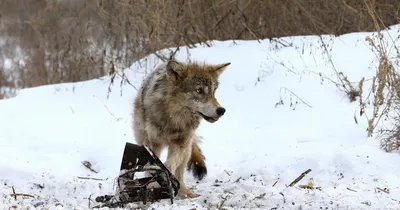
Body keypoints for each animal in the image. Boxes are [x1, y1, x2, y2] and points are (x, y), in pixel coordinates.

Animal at [132, 58, 230, 198]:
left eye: (213, 91)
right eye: (199, 91)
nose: (221, 110)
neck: (173, 118)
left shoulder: (181, 144)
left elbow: (169, 165)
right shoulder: (154, 143)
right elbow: (153, 166)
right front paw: (153, 184)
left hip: (187, 150)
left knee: (180, 173)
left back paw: (185, 193)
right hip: (143, 139)